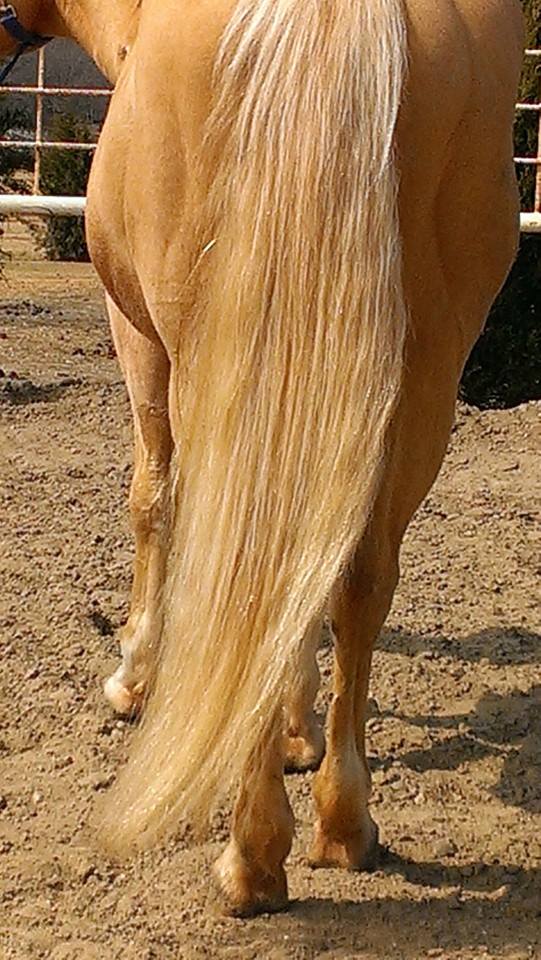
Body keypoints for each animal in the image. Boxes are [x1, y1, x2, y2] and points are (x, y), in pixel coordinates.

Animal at [0, 0, 523, 917]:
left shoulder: (138, 339)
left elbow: (152, 503)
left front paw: (133, 677)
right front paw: (294, 731)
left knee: (238, 553)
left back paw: (252, 855)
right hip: (421, 377)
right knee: (353, 574)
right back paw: (343, 825)